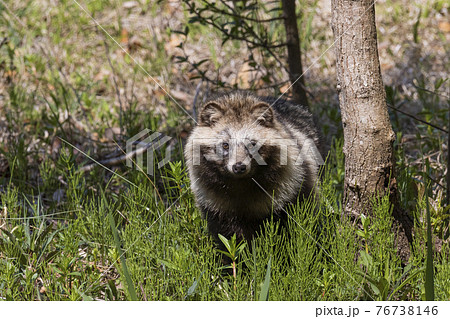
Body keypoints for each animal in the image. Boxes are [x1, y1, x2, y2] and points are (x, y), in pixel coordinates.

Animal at [184, 91, 320, 246]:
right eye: (225, 145)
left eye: (252, 144)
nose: (239, 167)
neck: (240, 182)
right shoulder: (214, 202)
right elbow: (227, 236)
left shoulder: (292, 184)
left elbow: (296, 223)